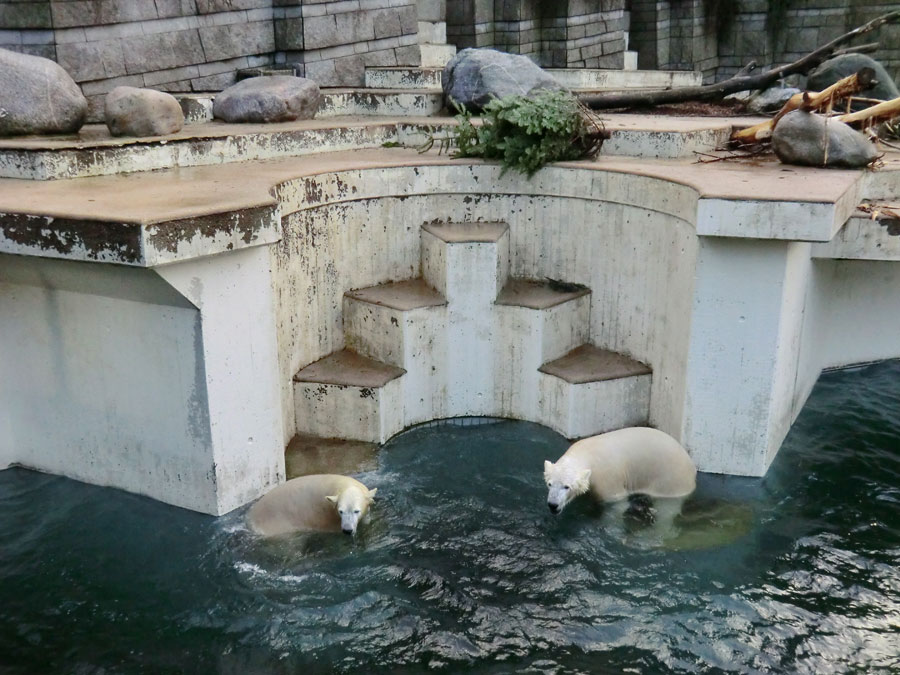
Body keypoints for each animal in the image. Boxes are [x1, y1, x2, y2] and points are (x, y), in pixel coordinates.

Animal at [540, 428, 696, 516]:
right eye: (549, 484)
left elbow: (616, 502)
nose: (553, 504)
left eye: (567, 486)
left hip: (670, 480)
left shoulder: (607, 478)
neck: (587, 453)